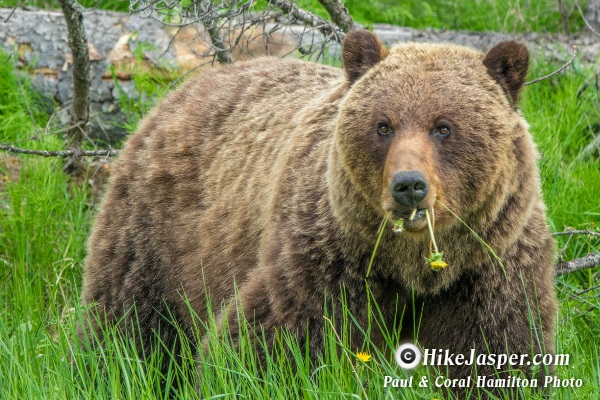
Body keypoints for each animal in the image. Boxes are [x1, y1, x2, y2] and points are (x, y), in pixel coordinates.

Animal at [81, 30, 556, 394]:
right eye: (383, 125)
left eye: (444, 127)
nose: (409, 186)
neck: (412, 267)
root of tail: (184, 87)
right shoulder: (328, 257)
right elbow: (269, 341)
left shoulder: (489, 267)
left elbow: (498, 353)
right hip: (157, 229)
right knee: (129, 321)